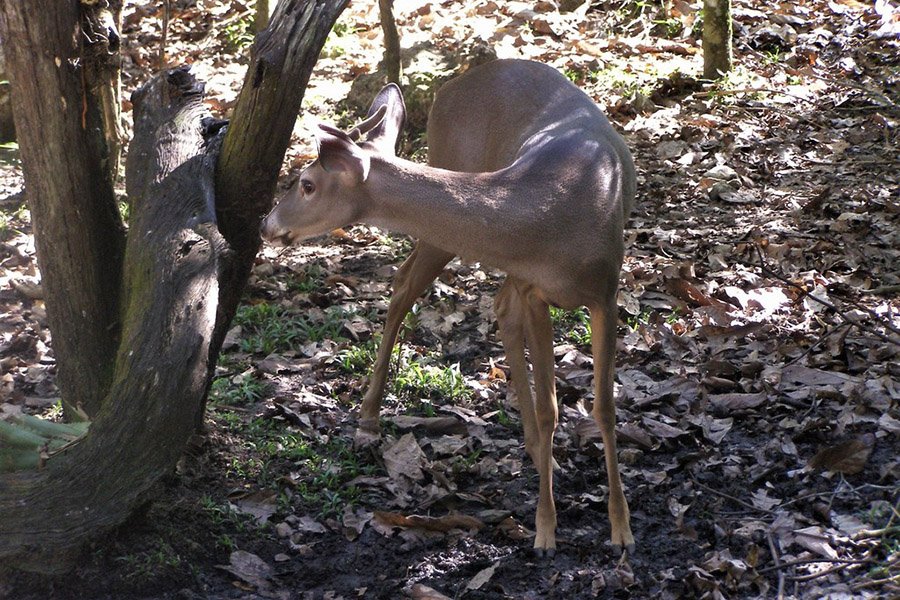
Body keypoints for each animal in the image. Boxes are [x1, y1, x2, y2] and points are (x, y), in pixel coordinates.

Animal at [262, 58, 640, 556]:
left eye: (306, 184)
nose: (267, 224)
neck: (551, 216)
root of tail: (451, 87)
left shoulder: (605, 291)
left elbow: (605, 408)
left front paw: (621, 529)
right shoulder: (535, 290)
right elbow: (550, 408)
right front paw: (545, 530)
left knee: (489, 303)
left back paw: (541, 457)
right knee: (409, 284)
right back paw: (370, 418)